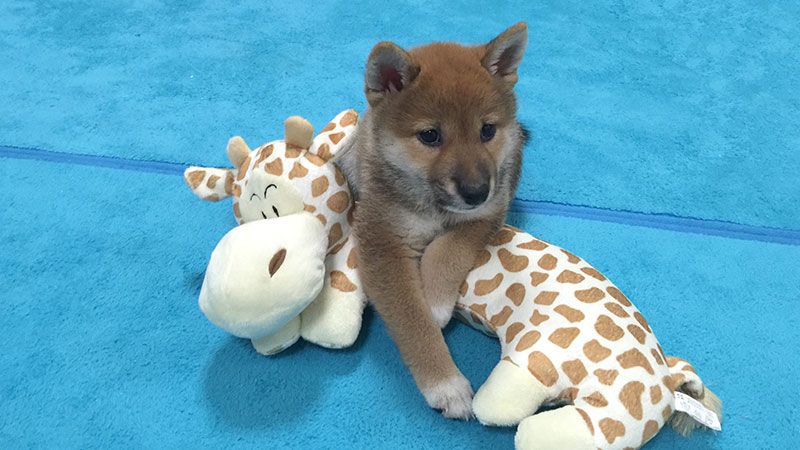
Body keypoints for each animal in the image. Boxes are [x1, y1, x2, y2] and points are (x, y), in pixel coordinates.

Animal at [340, 22, 528, 420]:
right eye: (430, 135)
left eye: (487, 131)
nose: (476, 191)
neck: (433, 206)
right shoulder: (382, 246)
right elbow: (413, 322)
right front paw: (445, 384)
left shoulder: (490, 211)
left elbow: (449, 247)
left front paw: (437, 300)